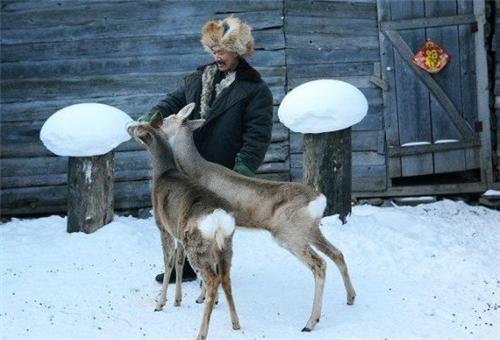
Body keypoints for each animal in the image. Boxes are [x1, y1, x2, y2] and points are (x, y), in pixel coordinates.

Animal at [127, 117, 240, 340]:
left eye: (138, 128)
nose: (128, 125)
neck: (163, 172)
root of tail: (218, 219)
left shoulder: (163, 227)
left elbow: (168, 262)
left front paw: (161, 303)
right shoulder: (177, 232)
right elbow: (179, 263)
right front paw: (177, 300)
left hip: (197, 244)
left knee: (212, 280)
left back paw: (201, 332)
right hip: (225, 245)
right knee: (225, 277)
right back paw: (235, 323)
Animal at [158, 103, 358, 332]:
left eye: (166, 120)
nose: (156, 123)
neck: (197, 170)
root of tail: (319, 199)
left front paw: (205, 298)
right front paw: (205, 297)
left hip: (289, 234)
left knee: (320, 265)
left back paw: (310, 322)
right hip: (310, 229)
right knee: (337, 253)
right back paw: (350, 297)